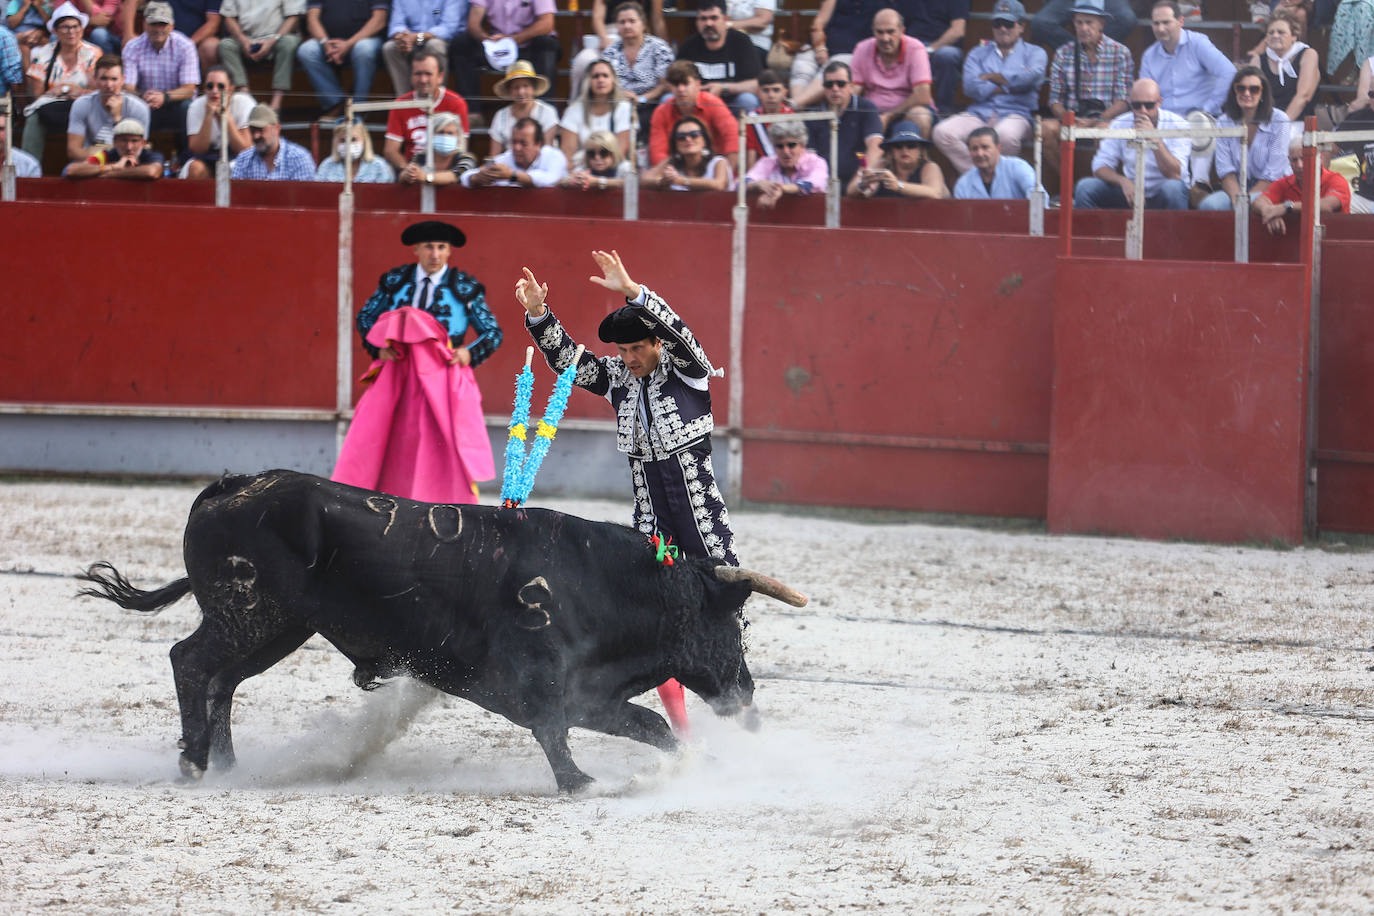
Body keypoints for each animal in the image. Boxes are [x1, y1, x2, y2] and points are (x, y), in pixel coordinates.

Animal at [77, 469, 802, 791]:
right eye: (733, 626)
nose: (748, 699)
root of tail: (235, 486)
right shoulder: (551, 684)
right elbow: (579, 728)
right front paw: (580, 782)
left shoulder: (583, 691)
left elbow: (643, 722)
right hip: (247, 613)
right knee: (191, 661)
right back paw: (195, 761)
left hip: (277, 627)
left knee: (221, 679)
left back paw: (226, 765)